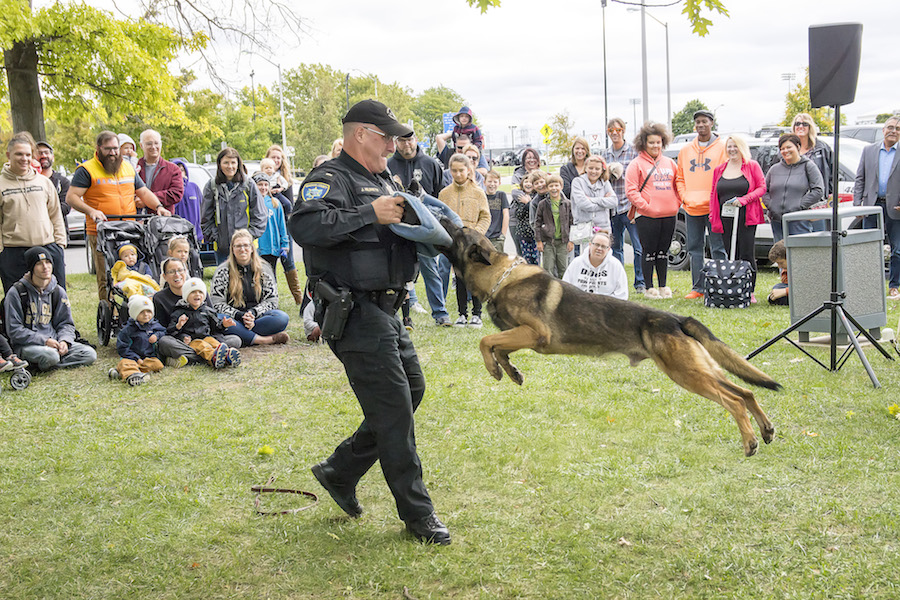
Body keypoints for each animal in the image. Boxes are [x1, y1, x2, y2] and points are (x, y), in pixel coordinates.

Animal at [438, 220, 780, 456]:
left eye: (460, 230)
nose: (440, 215)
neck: (498, 276)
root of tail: (675, 319)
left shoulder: (534, 334)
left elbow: (486, 342)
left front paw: (495, 369)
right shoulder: (517, 335)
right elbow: (498, 347)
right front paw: (509, 371)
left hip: (686, 373)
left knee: (733, 399)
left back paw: (750, 441)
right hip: (700, 368)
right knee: (746, 392)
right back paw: (765, 429)